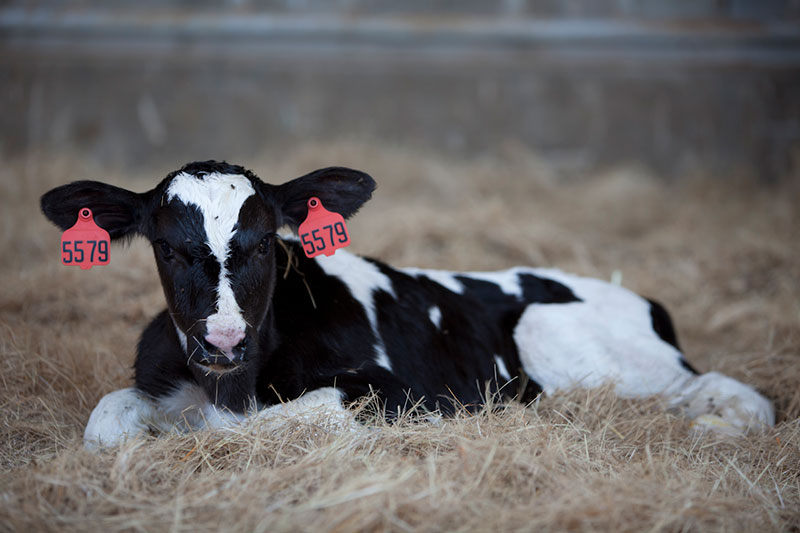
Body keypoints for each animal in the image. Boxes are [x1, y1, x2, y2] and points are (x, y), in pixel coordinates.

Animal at [39, 160, 776, 446]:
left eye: (265, 241)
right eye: (166, 246)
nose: (222, 341)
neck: (236, 385)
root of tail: (640, 296)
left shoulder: (400, 392)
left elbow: (272, 424)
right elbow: (106, 422)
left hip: (558, 331)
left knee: (733, 390)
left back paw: (718, 425)